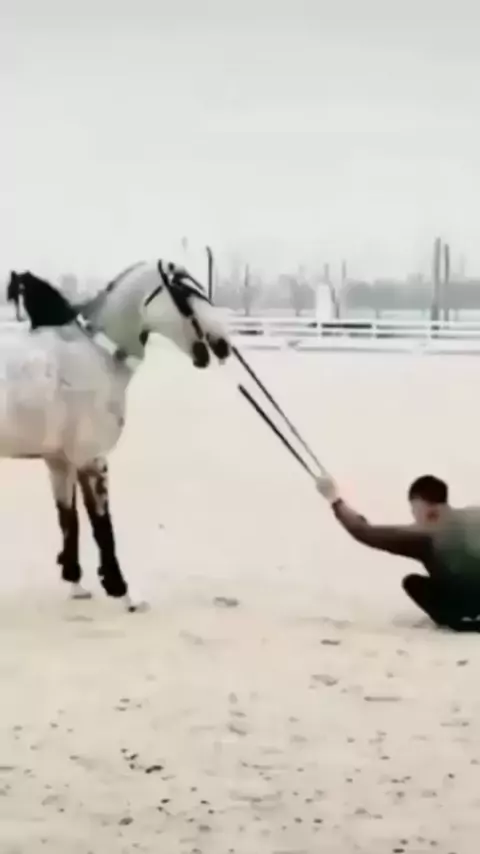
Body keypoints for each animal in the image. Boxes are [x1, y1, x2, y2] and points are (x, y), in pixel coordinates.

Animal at [3, 261, 231, 611]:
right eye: (184, 291)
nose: (222, 343)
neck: (96, 355)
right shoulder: (92, 460)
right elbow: (102, 527)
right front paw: (123, 591)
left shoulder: (60, 462)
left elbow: (68, 520)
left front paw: (75, 583)